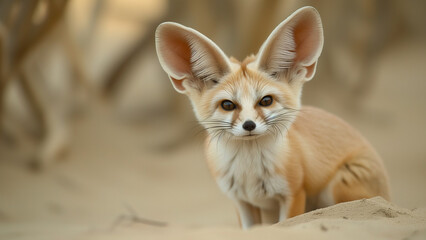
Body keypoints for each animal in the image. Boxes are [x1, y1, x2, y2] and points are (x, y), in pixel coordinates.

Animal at [156, 6, 390, 229]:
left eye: (266, 101)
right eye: (228, 105)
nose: (249, 125)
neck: (249, 172)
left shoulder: (293, 193)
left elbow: (288, 223)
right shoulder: (241, 202)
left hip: (336, 186)